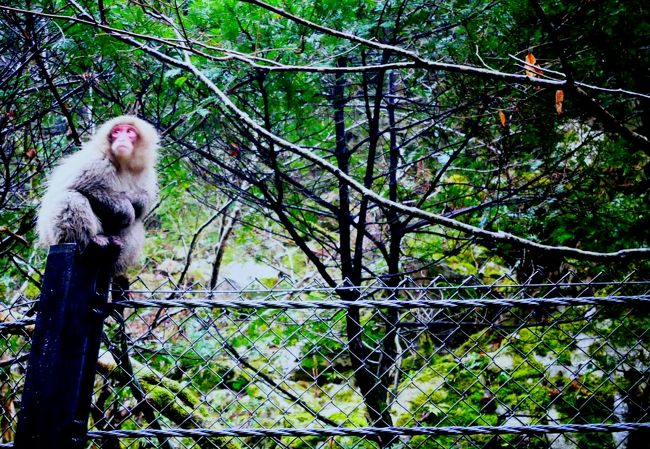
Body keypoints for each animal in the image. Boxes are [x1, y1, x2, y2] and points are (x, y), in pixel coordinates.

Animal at [37, 114, 159, 272]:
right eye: (117, 132)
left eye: (129, 132)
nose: (122, 138)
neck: (123, 164)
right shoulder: (97, 160)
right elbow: (82, 187)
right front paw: (126, 207)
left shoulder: (148, 173)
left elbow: (142, 204)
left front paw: (135, 199)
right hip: (54, 237)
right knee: (71, 197)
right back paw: (85, 244)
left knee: (136, 222)